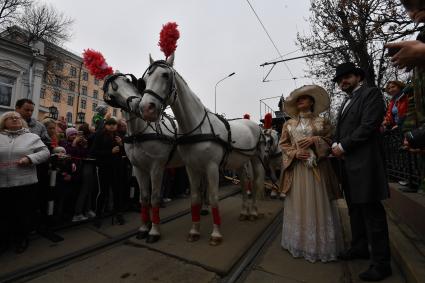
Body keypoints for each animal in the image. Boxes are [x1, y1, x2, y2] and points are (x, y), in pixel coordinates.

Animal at [103, 74, 183, 244]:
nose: (136, 104)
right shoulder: (138, 168)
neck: (139, 132)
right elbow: (144, 198)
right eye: (112, 95)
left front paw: (154, 231)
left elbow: (155, 198)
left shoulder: (157, 167)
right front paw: (144, 228)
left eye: (128, 81)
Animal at [138, 55, 264, 246]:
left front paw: (216, 234)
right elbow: (196, 198)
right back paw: (244, 212)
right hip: (239, 163)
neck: (196, 127)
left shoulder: (212, 167)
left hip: (255, 159)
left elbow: (213, 198)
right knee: (244, 184)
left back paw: (254, 212)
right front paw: (194, 231)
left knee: (255, 183)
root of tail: (252, 124)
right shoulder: (191, 168)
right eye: (145, 79)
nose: (146, 108)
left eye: (165, 75)